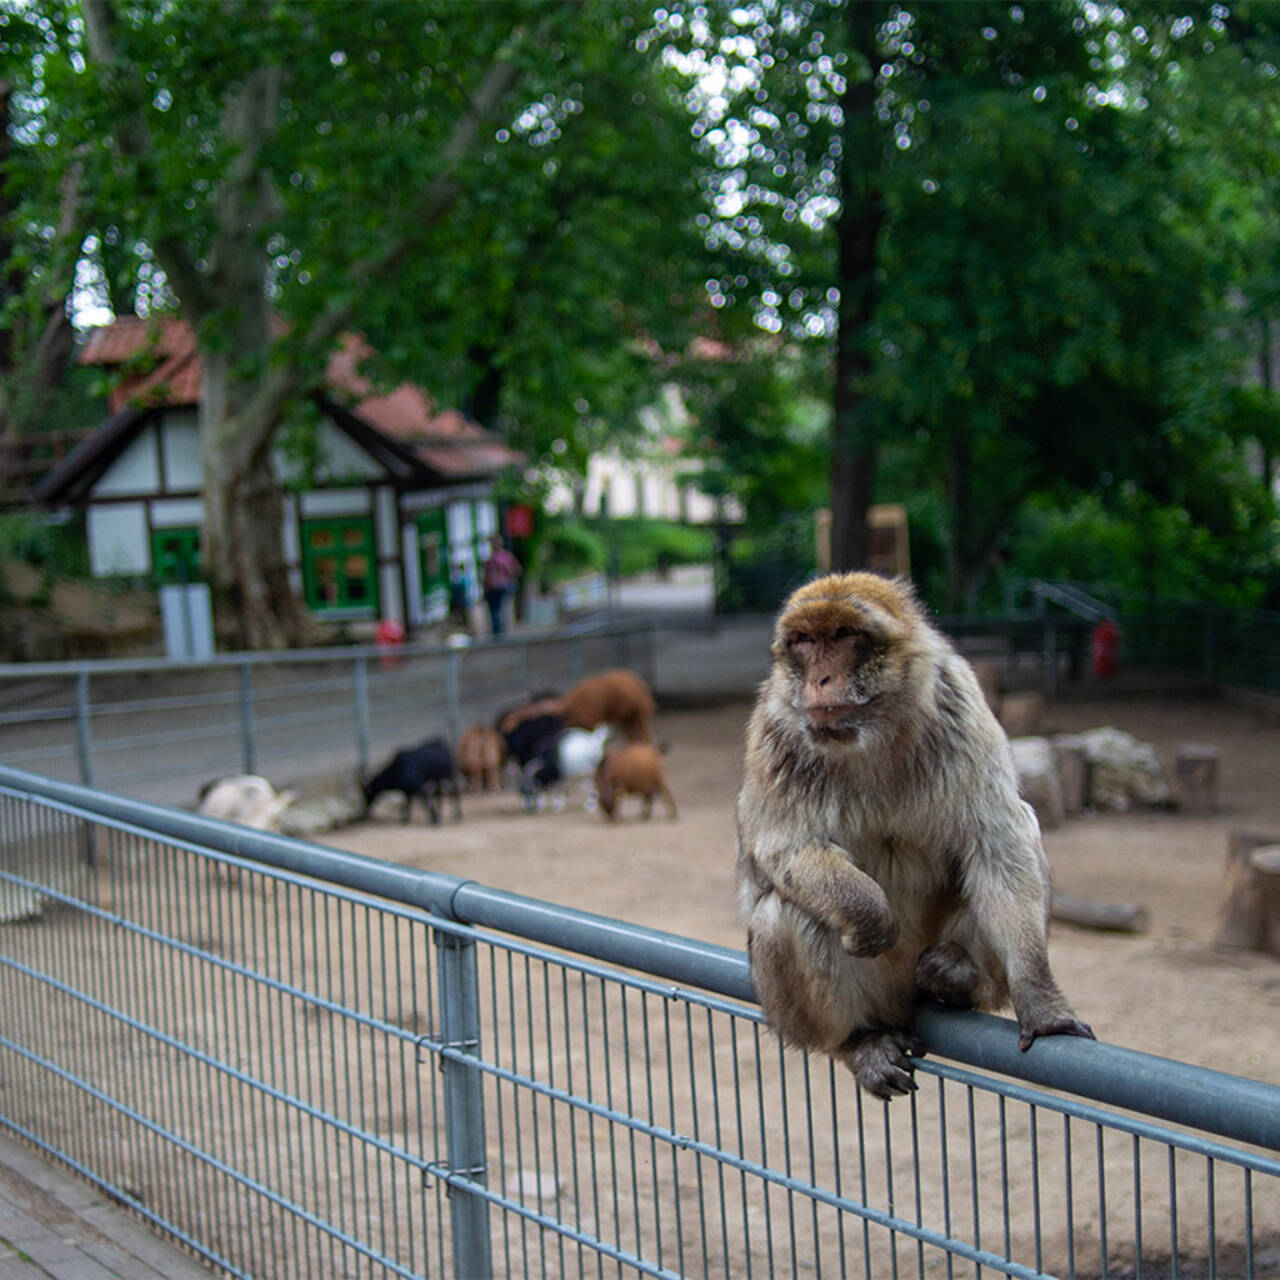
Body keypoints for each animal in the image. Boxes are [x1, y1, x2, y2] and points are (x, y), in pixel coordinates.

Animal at [742, 576, 1090, 1095]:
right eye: (805, 641)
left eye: (843, 635)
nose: (818, 680)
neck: (871, 736)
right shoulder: (775, 731)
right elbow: (785, 847)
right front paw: (868, 915)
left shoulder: (957, 699)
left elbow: (999, 841)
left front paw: (1041, 1001)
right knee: (782, 914)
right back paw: (857, 1041)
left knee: (1021, 830)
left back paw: (961, 976)